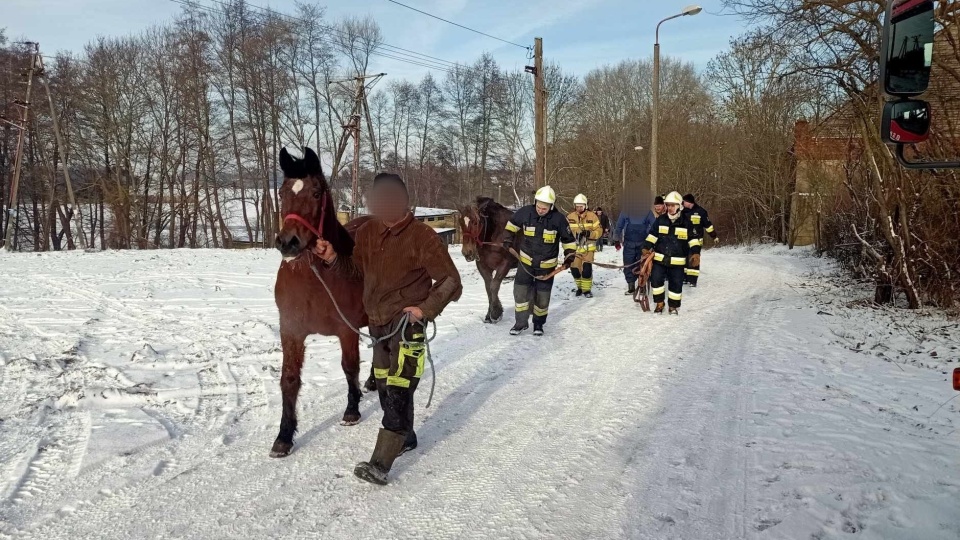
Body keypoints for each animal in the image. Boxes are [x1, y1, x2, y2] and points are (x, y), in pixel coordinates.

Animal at [274, 146, 376, 458]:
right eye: (281, 192)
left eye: (317, 193)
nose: (288, 243)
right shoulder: (291, 331)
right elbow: (289, 379)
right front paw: (283, 436)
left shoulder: (346, 330)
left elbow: (349, 367)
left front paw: (352, 410)